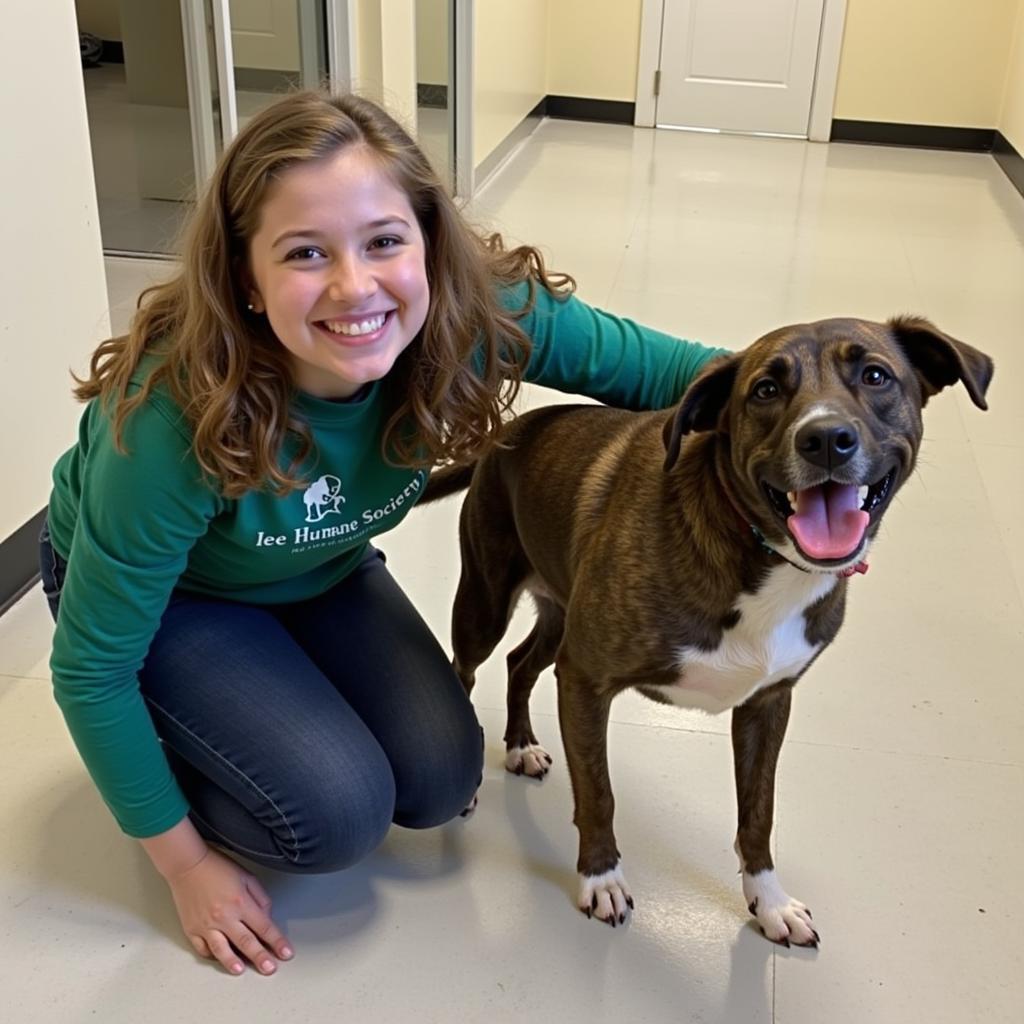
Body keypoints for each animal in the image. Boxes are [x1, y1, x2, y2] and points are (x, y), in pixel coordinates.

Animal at [421, 315, 991, 946]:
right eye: (765, 389)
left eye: (875, 376)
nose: (825, 439)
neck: (758, 551)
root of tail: (507, 431)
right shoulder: (587, 680)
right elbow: (598, 792)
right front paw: (600, 877)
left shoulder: (768, 704)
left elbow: (758, 813)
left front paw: (769, 902)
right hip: (486, 602)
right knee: (465, 669)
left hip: (558, 618)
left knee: (519, 664)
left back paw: (520, 744)